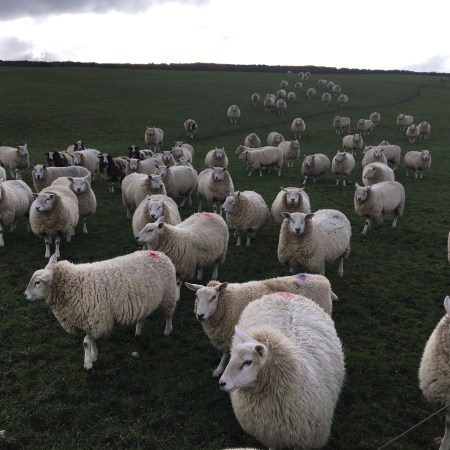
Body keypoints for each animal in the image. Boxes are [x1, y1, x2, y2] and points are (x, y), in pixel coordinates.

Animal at [24, 250, 179, 370]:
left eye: (37, 282)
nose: (25, 295)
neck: (76, 284)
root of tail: (159, 253)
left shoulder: (98, 320)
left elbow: (86, 342)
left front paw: (88, 363)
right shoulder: (90, 321)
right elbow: (90, 341)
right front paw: (94, 355)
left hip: (169, 295)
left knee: (168, 315)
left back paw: (168, 331)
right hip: (146, 301)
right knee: (143, 316)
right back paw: (138, 331)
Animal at [185, 273, 338, 376]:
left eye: (213, 297)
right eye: (196, 297)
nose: (200, 315)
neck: (226, 303)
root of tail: (324, 280)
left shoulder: (232, 333)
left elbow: (226, 353)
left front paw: (221, 369)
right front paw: (219, 369)